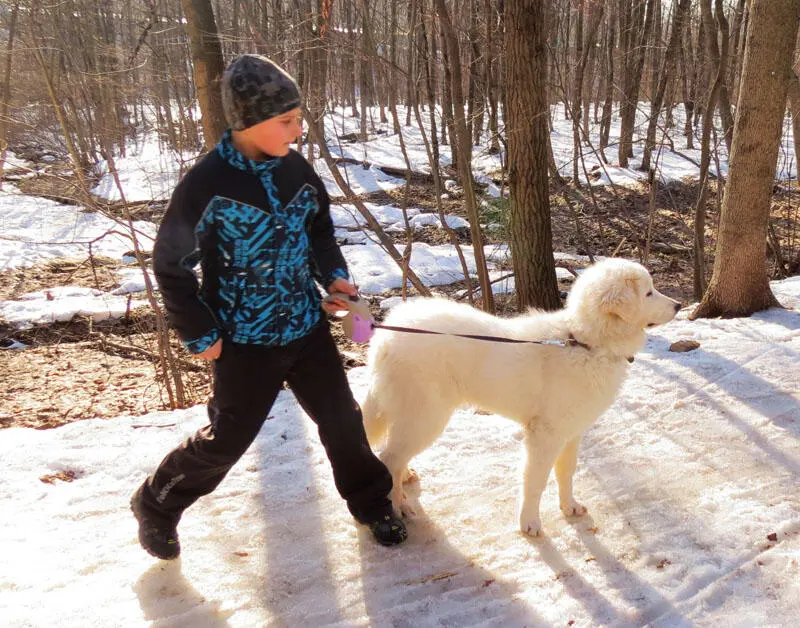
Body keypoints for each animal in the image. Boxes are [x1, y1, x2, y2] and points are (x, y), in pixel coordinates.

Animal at [362, 258, 680, 536]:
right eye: (649, 292)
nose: (678, 305)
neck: (585, 343)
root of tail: (385, 337)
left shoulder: (572, 432)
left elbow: (566, 472)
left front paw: (569, 506)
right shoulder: (545, 435)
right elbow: (535, 481)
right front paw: (530, 523)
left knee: (395, 452)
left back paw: (405, 479)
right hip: (427, 416)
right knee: (389, 456)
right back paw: (398, 505)